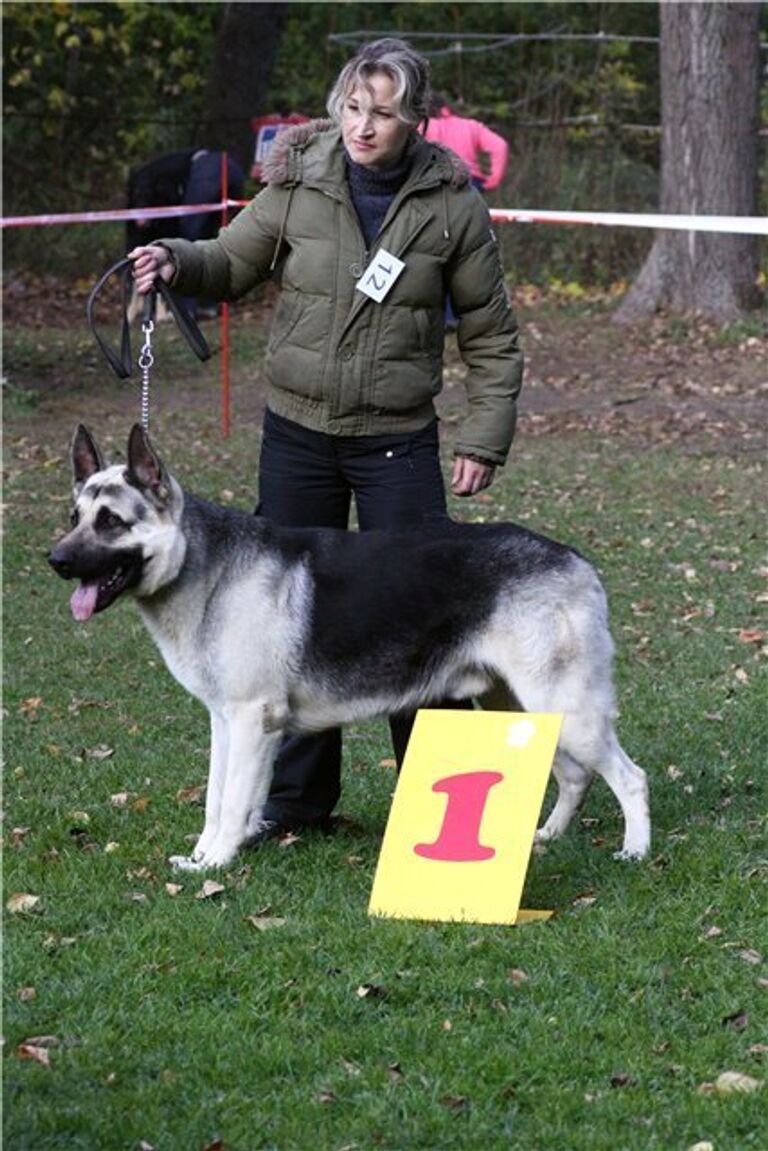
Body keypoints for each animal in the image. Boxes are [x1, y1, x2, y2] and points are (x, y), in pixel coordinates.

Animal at [49, 428, 649, 865]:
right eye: (75, 518)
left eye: (111, 522)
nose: (55, 560)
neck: (204, 568)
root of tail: (574, 559)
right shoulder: (225, 723)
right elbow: (217, 800)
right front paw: (201, 859)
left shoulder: (250, 722)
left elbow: (234, 801)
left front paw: (217, 864)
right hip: (526, 708)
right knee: (575, 776)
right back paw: (547, 836)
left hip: (566, 711)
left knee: (630, 778)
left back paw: (635, 851)